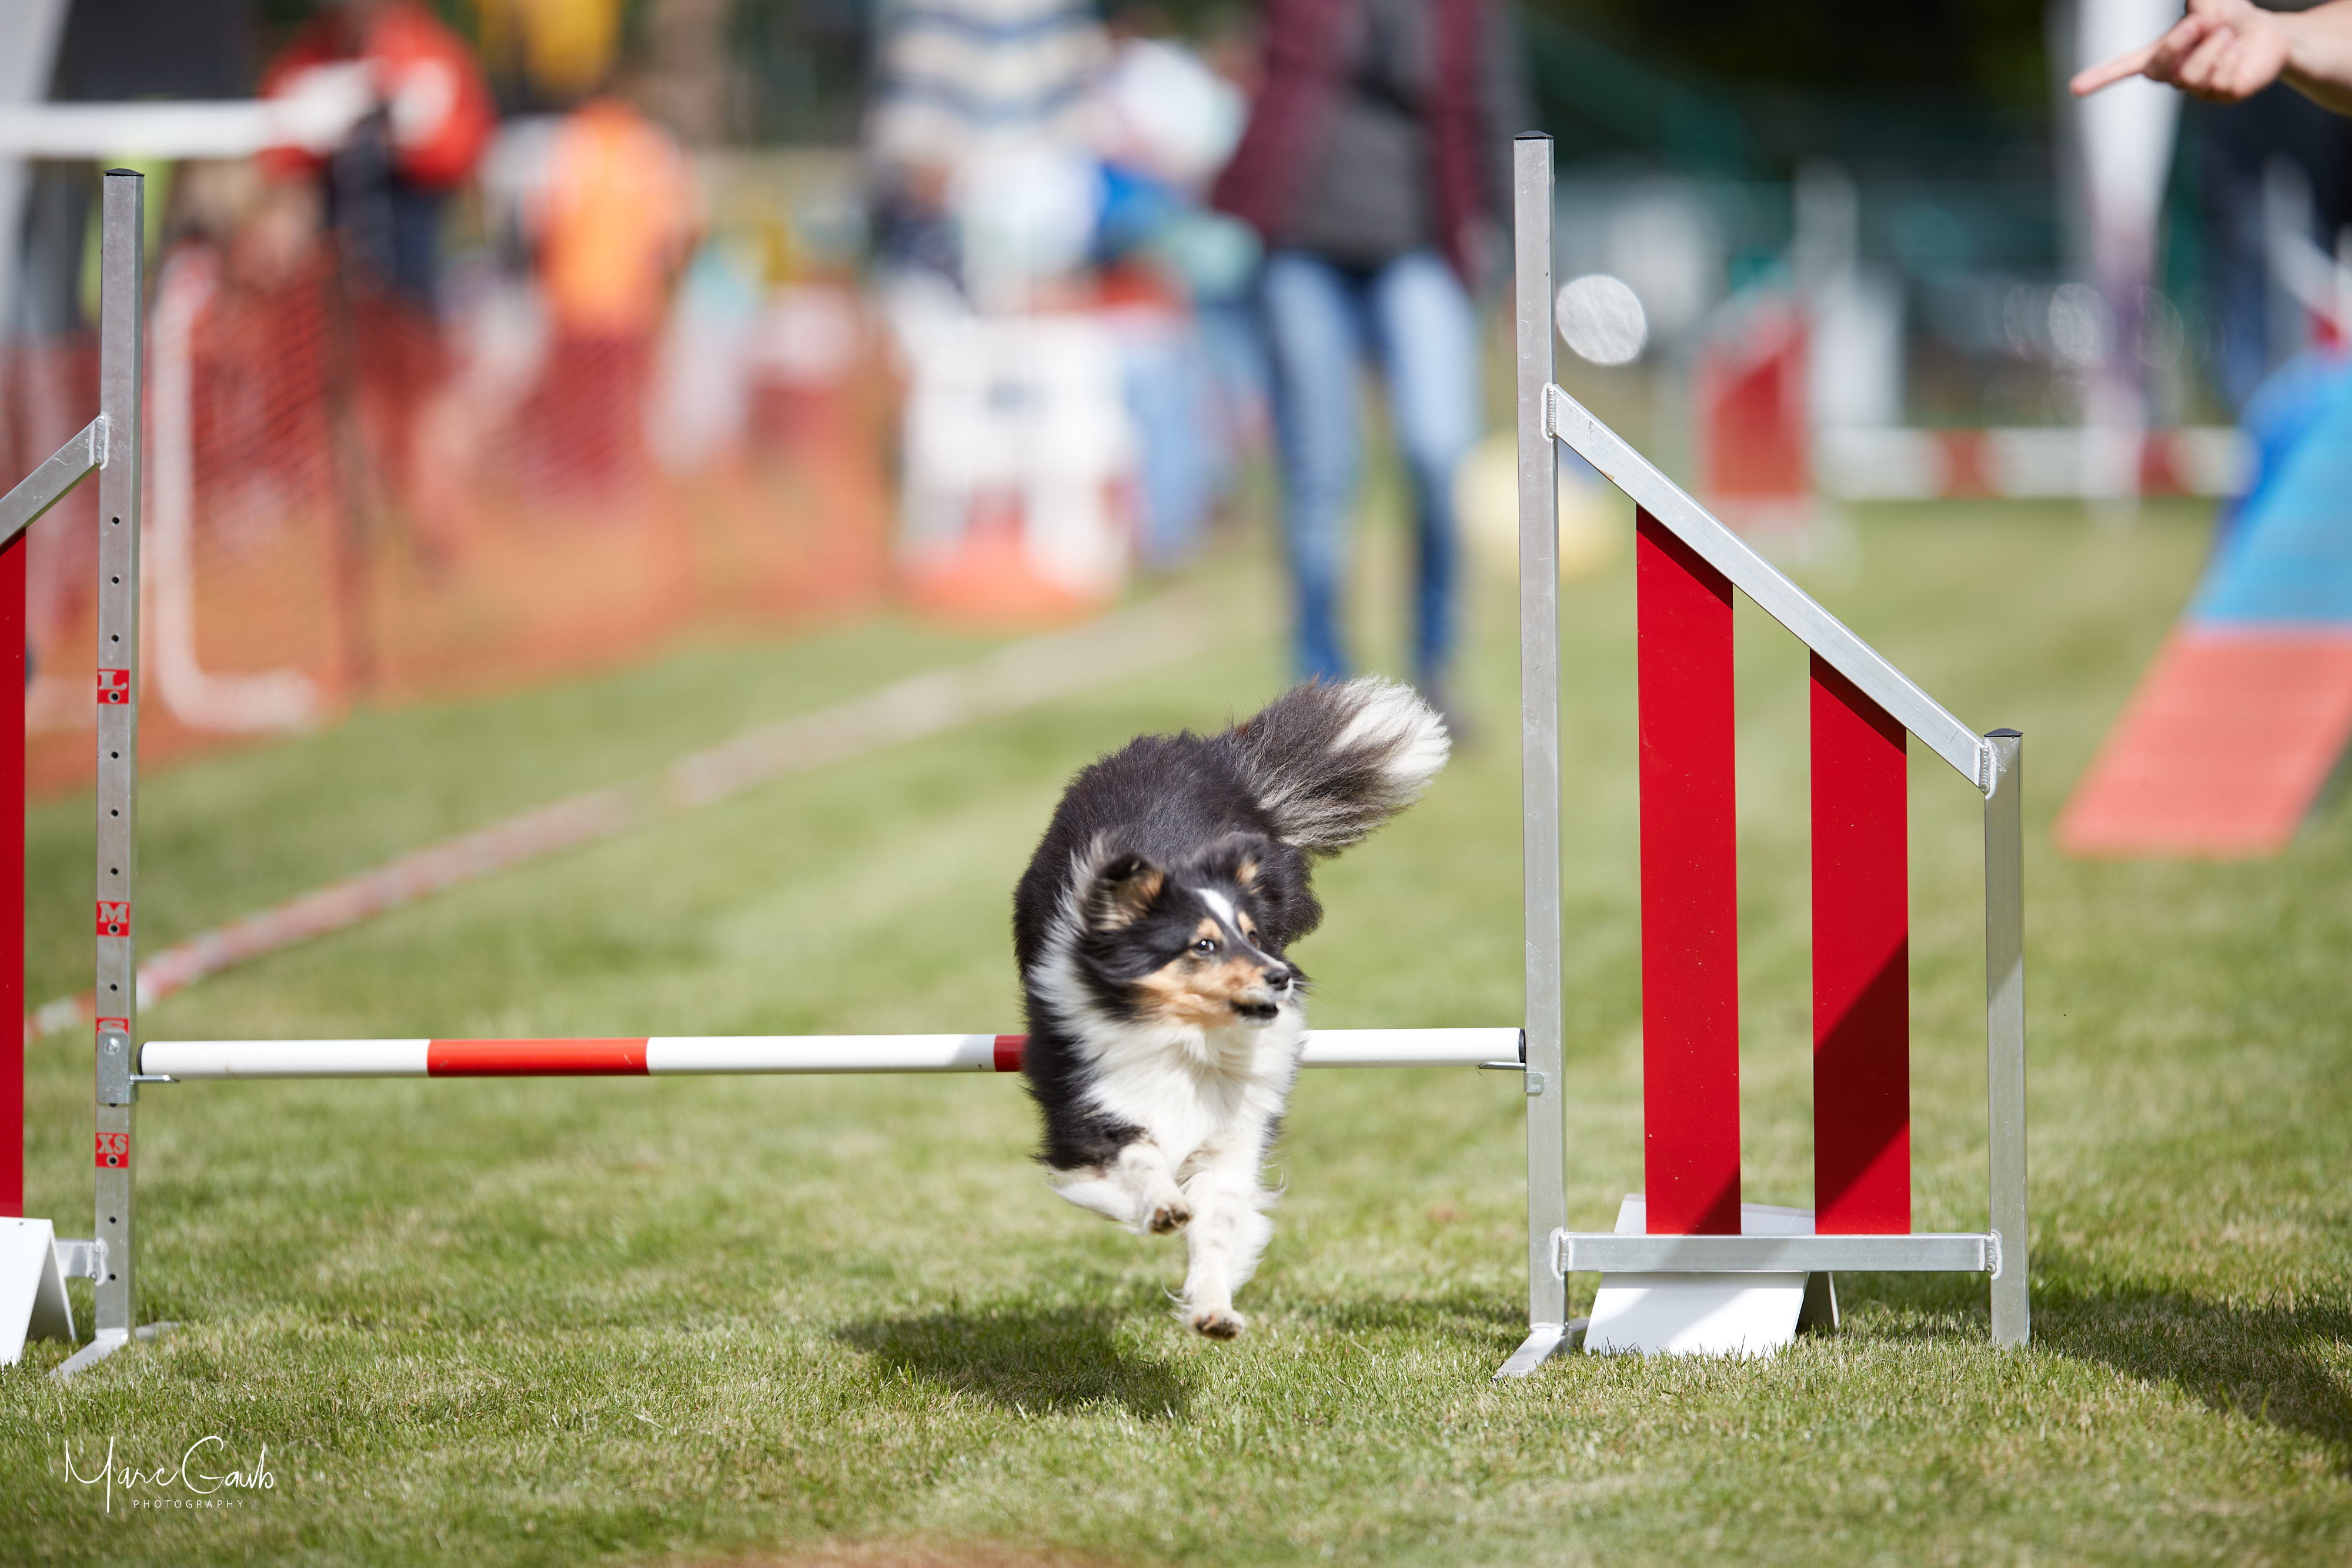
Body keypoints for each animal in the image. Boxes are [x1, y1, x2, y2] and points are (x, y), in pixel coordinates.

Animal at [1012, 676, 1450, 1338]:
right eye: (1203, 945)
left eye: (1252, 934)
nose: (1280, 979)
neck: (1189, 1045)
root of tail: (1203, 750)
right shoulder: (1087, 1113)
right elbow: (1140, 1158)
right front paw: (1163, 1206)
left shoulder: (1233, 1135)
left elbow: (1218, 1226)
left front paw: (1214, 1310)